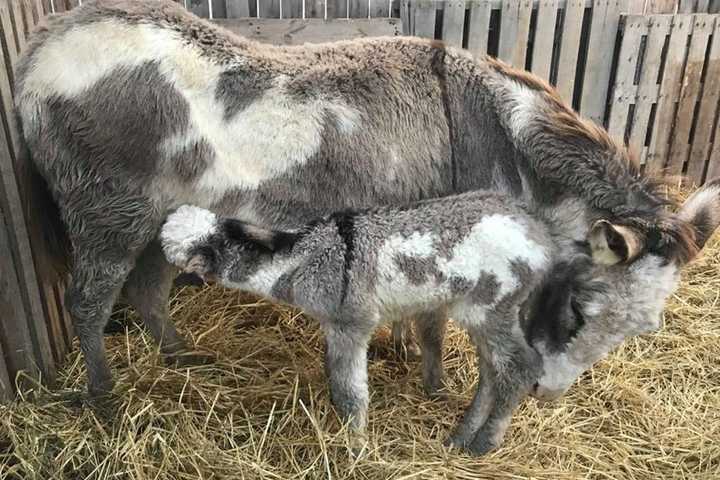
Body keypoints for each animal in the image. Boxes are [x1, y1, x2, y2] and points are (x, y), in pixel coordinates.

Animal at [162, 191, 552, 454]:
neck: (303, 259)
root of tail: (536, 232)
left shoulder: (351, 323)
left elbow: (351, 392)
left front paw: (356, 446)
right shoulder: (332, 326)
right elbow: (334, 379)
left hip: (495, 305)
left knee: (521, 367)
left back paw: (483, 443)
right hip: (483, 313)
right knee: (493, 372)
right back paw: (460, 436)